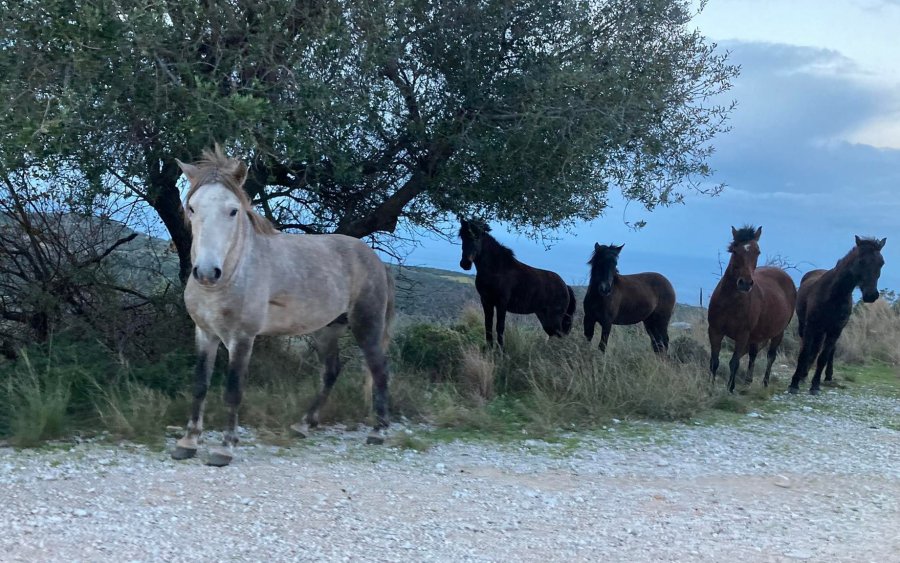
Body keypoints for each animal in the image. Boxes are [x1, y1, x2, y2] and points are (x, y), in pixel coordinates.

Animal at [171, 147, 392, 468]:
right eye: (191, 208)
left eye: (233, 210)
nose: (207, 272)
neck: (233, 273)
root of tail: (375, 259)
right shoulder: (204, 333)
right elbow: (200, 385)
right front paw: (188, 442)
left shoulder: (242, 339)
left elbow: (233, 391)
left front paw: (225, 448)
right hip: (326, 330)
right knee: (331, 371)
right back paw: (304, 424)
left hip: (367, 325)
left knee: (379, 369)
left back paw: (379, 431)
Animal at [458, 220, 576, 348]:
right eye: (462, 237)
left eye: (477, 237)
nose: (465, 263)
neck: (497, 269)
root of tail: (566, 286)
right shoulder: (486, 301)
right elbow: (488, 326)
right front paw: (489, 348)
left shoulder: (501, 303)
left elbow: (500, 327)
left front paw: (500, 349)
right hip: (544, 317)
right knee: (554, 335)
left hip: (555, 318)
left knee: (559, 336)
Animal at [712, 227, 796, 394]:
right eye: (735, 250)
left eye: (758, 251)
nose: (745, 283)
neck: (730, 302)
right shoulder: (715, 331)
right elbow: (714, 361)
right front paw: (709, 387)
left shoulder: (742, 335)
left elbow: (734, 362)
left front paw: (730, 389)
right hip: (756, 335)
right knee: (753, 354)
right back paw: (747, 381)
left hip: (778, 332)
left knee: (771, 356)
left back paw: (765, 382)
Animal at [788, 236, 884, 394]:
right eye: (861, 261)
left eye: (881, 263)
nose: (871, 295)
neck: (833, 295)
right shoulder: (811, 326)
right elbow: (804, 353)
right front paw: (794, 384)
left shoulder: (835, 330)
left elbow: (823, 357)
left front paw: (815, 385)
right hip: (807, 327)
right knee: (808, 348)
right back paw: (802, 375)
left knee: (824, 351)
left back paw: (820, 376)